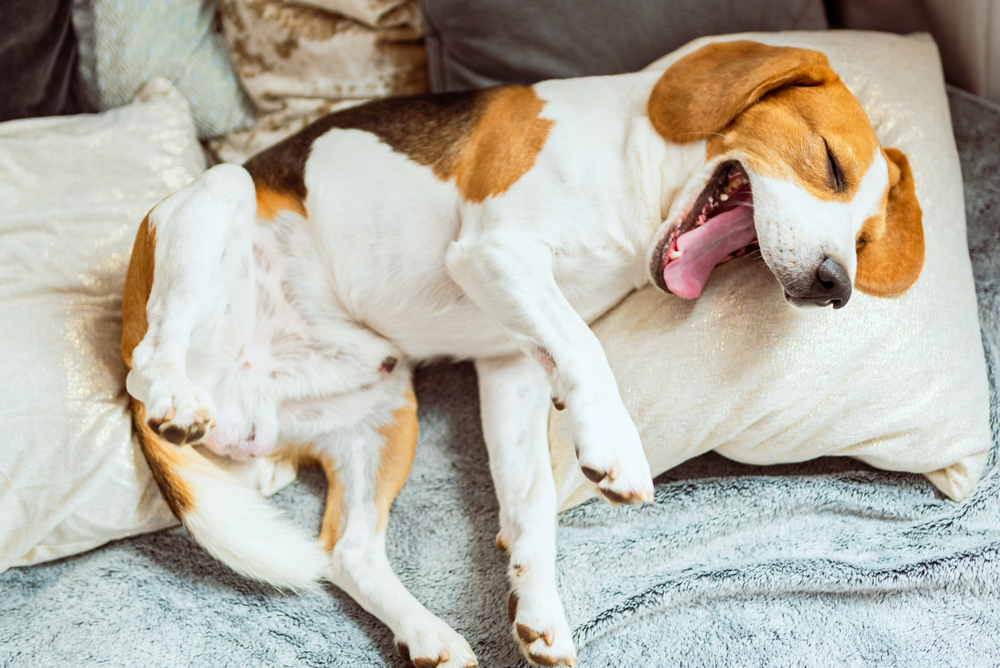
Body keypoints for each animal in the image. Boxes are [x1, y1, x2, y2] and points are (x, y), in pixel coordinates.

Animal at [121, 43, 924, 668]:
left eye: (863, 240)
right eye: (831, 166)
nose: (836, 285)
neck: (637, 192)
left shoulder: (509, 364)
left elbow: (532, 499)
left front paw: (538, 605)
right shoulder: (495, 252)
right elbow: (587, 349)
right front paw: (615, 447)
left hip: (385, 406)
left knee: (348, 552)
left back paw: (428, 634)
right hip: (214, 209)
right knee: (150, 360)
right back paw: (171, 397)